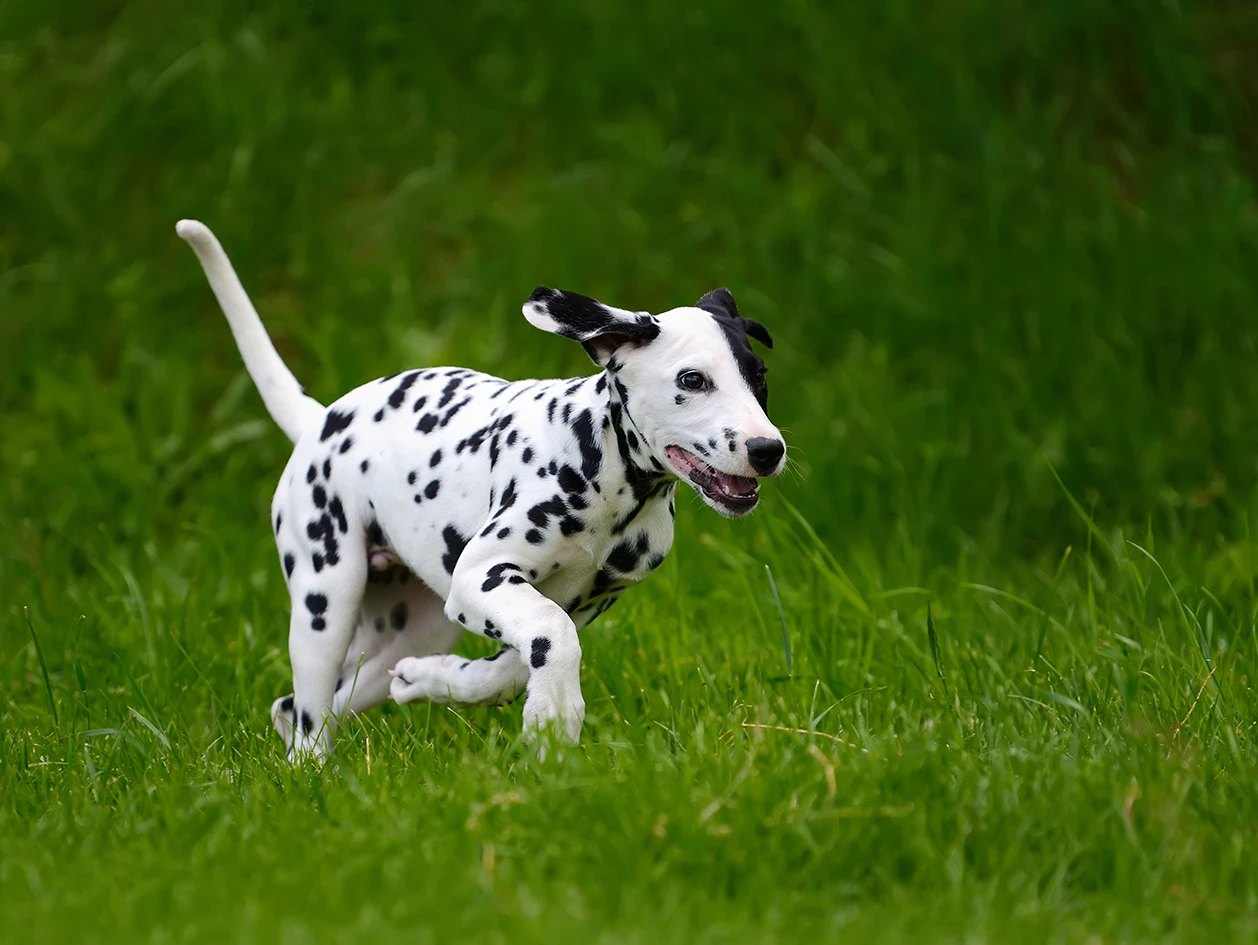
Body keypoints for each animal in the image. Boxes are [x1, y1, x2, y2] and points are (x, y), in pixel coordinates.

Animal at [177, 217, 784, 760]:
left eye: (758, 376)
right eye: (692, 380)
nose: (768, 449)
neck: (609, 478)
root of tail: (319, 420)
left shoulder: (584, 601)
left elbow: (516, 665)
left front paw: (447, 684)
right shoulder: (484, 575)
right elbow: (550, 634)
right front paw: (556, 717)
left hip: (413, 626)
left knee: (308, 703)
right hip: (325, 603)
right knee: (308, 715)